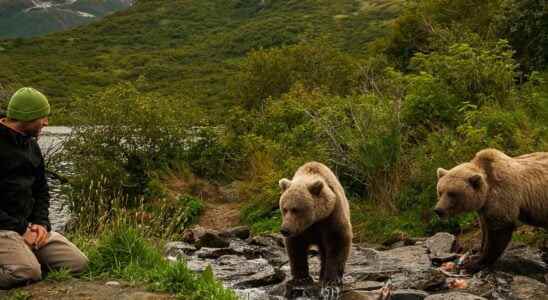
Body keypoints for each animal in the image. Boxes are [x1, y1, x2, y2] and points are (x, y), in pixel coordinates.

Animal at [280, 162, 354, 290]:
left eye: (295, 209)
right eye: (284, 209)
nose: (284, 230)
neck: (314, 221)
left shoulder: (331, 217)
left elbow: (338, 242)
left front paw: (331, 280)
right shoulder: (299, 229)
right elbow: (296, 247)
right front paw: (300, 278)